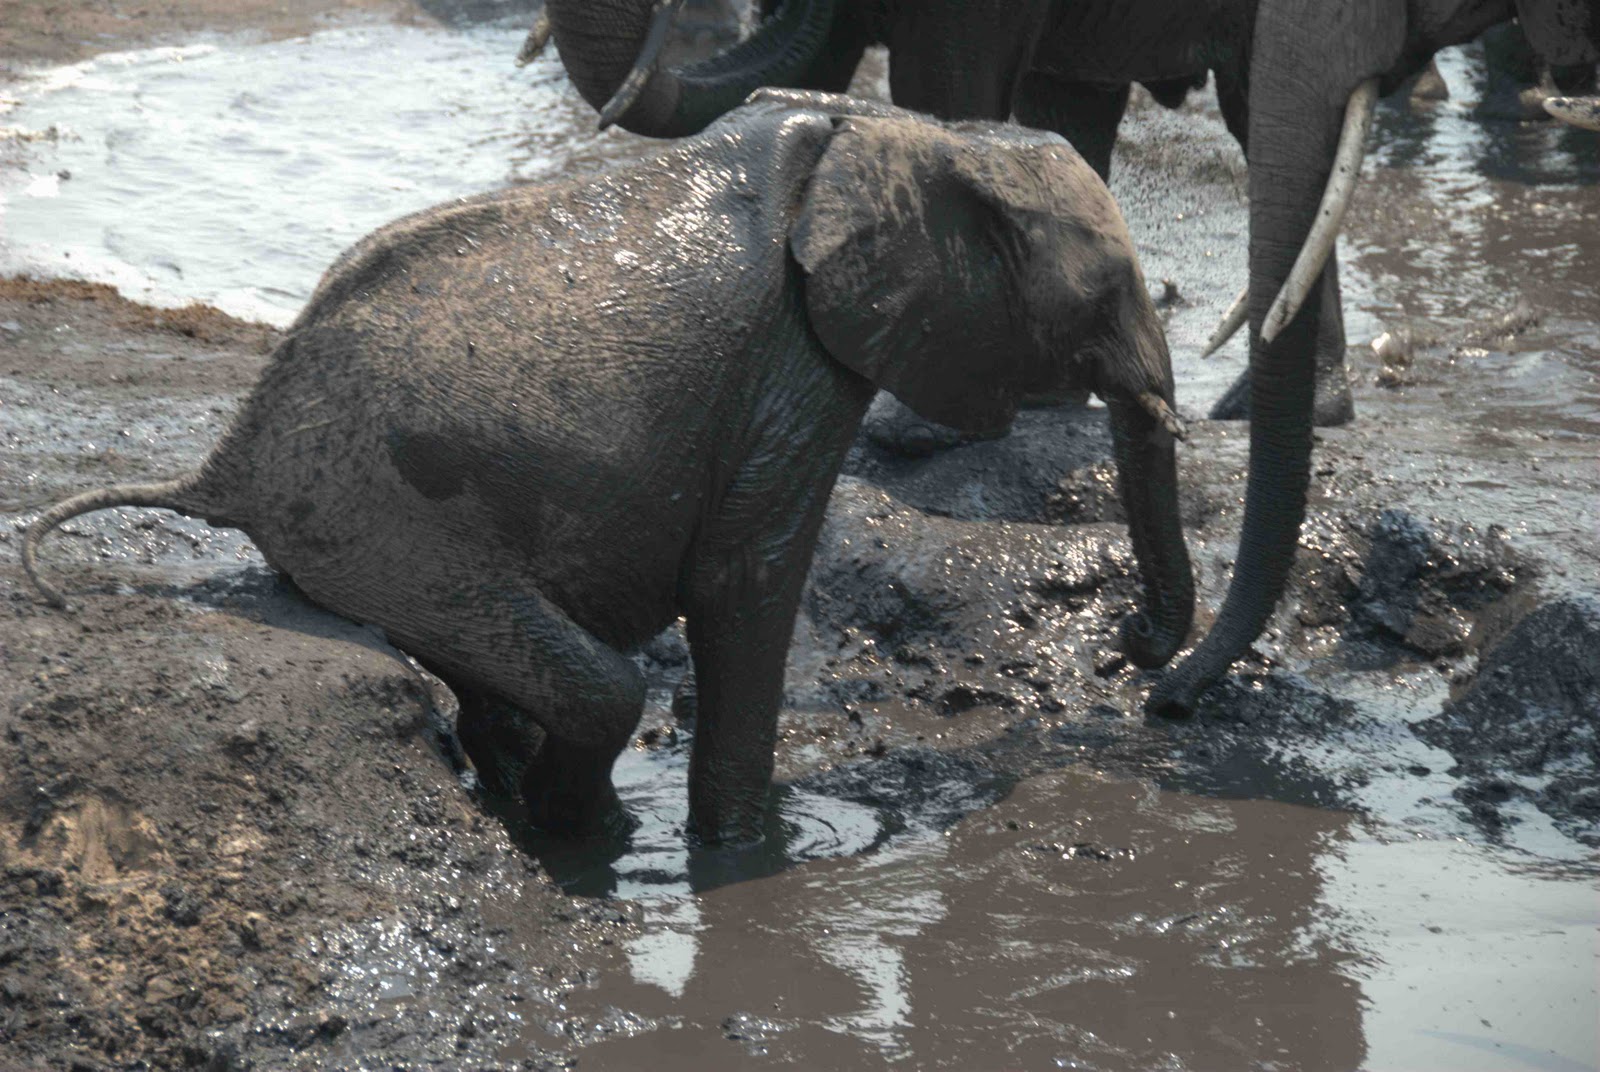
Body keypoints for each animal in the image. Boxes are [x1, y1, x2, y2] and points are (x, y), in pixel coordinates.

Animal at [23, 92, 1193, 846]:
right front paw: (754, 850)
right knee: (604, 691)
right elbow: (746, 580)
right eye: (1103, 296)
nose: (1134, 651)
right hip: (388, 526)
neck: (907, 132)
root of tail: (227, 459)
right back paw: (592, 833)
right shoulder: (794, 360)